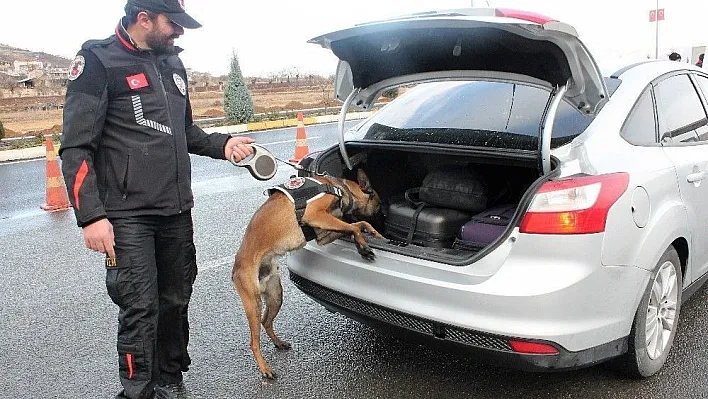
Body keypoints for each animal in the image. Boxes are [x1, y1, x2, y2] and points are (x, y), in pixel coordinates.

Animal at [234, 170, 384, 382]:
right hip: (253, 303)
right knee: (254, 342)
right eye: (379, 204)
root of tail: (235, 267)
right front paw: (363, 247)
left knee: (266, 322)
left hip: (275, 296)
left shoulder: (323, 234)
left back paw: (279, 343)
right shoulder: (315, 215)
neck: (339, 188)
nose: (385, 219)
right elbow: (354, 226)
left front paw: (373, 234)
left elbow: (358, 223)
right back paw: (265, 369)